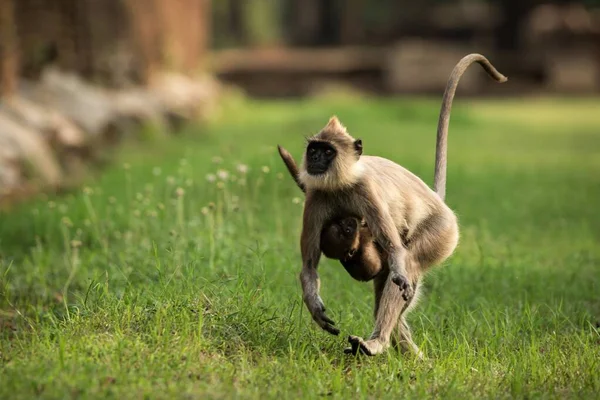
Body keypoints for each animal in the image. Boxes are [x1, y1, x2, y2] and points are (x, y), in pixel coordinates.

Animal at [278, 54, 504, 356]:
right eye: (313, 149)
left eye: (327, 151)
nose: (314, 158)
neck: (340, 184)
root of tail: (437, 201)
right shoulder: (316, 197)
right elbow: (309, 266)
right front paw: (314, 307)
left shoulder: (366, 190)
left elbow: (397, 255)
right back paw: (405, 351)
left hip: (442, 232)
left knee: (408, 262)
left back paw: (378, 342)